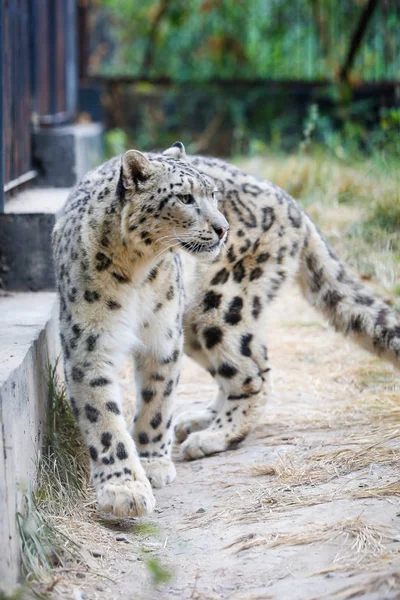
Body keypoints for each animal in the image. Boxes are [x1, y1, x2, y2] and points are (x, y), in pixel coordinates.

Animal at [51, 143, 398, 516]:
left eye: (213, 194)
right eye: (185, 197)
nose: (222, 228)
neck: (137, 271)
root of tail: (291, 202)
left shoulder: (163, 338)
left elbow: (156, 404)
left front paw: (151, 462)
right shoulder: (90, 345)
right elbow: (103, 420)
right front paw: (124, 489)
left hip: (217, 307)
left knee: (252, 373)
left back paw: (212, 436)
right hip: (198, 318)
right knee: (252, 369)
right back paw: (200, 421)